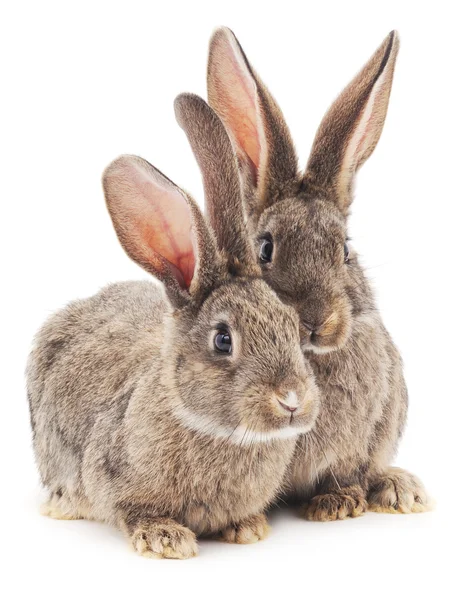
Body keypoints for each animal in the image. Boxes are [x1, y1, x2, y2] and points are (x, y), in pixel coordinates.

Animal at [26, 95, 322, 556]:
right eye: (223, 340)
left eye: (290, 325)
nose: (291, 399)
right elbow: (132, 512)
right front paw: (165, 539)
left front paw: (246, 529)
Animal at [194, 25, 432, 516]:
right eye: (265, 248)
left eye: (345, 249)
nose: (317, 320)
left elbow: (344, 472)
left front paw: (337, 504)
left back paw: (399, 489)